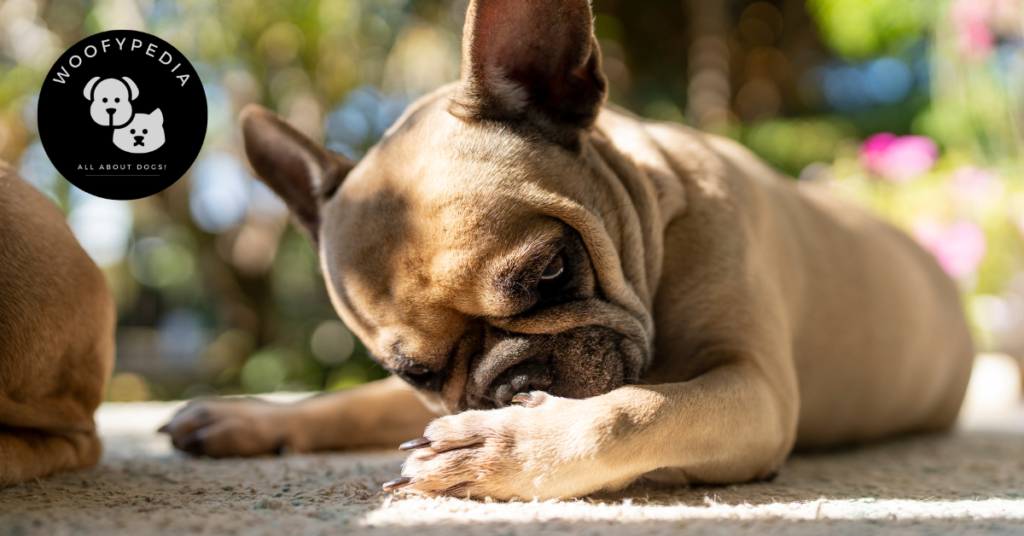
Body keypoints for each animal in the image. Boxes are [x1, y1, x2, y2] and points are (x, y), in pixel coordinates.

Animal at [161, 0, 974, 500]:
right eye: (415, 372)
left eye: (551, 270)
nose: (510, 385)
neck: (656, 224)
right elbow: (355, 402)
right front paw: (255, 418)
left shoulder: (756, 390)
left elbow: (636, 412)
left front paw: (508, 451)